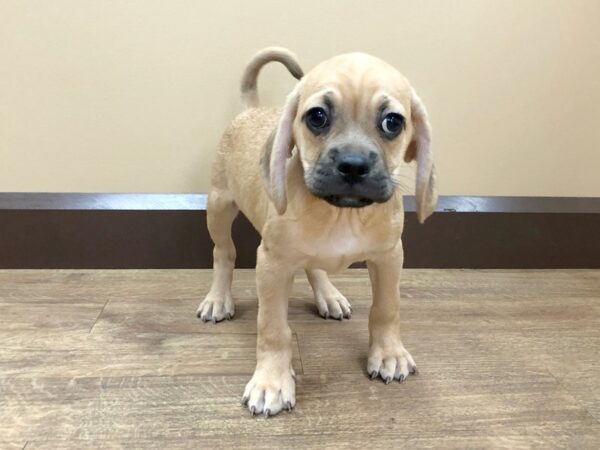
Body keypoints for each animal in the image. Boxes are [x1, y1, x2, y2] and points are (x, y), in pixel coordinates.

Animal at [197, 47, 436, 416]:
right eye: (317, 117)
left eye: (393, 122)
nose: (353, 165)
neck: (340, 214)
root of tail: (251, 109)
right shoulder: (272, 266)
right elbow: (273, 328)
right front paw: (272, 381)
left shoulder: (388, 257)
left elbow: (386, 309)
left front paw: (388, 353)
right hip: (219, 207)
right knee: (224, 253)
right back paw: (218, 298)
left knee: (314, 266)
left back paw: (329, 295)